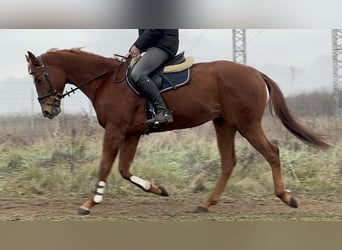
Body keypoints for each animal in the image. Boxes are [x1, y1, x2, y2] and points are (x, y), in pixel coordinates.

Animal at [25, 48, 330, 215]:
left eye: (39, 78)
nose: (49, 111)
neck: (106, 82)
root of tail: (254, 72)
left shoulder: (115, 131)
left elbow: (104, 167)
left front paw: (90, 202)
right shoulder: (131, 134)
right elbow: (124, 170)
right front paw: (158, 189)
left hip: (247, 124)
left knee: (272, 153)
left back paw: (287, 198)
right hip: (224, 124)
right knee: (228, 162)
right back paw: (206, 203)